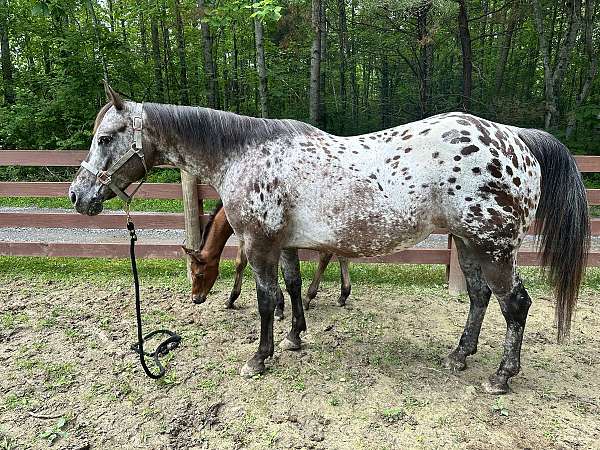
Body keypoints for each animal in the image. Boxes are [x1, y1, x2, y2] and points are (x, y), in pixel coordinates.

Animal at [183, 202, 352, 312]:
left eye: (199, 274)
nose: (195, 299)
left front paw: (279, 304)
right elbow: (240, 263)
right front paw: (231, 299)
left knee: (326, 255)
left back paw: (308, 298)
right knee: (341, 255)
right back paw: (343, 295)